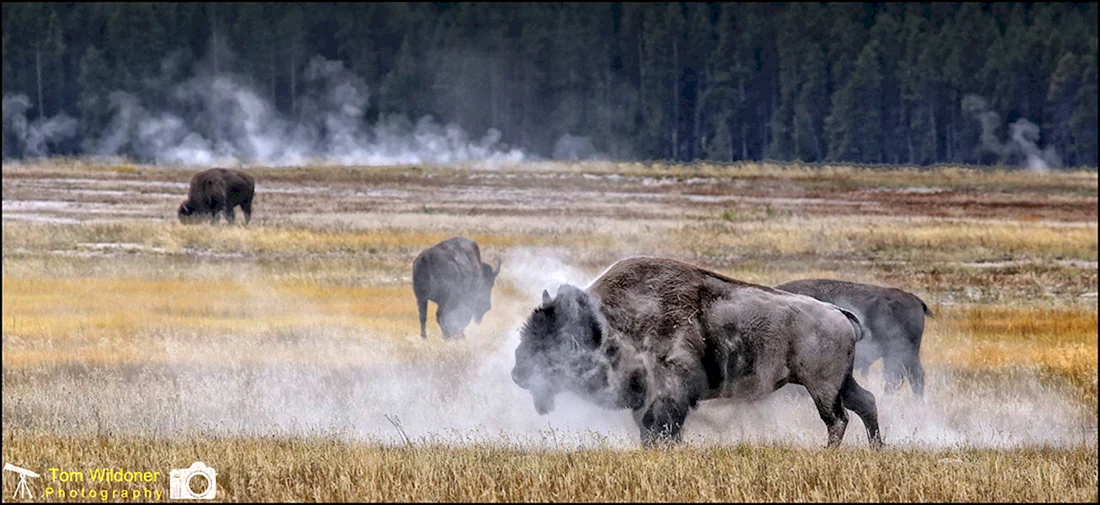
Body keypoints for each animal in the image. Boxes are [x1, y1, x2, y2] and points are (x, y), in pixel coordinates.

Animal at [511, 257, 883, 448]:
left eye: (552, 344)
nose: (518, 373)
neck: (608, 325)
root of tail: (838, 313)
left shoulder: (668, 395)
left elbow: (664, 426)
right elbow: (649, 429)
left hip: (821, 387)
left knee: (837, 419)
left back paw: (829, 452)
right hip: (842, 383)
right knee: (865, 403)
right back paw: (875, 448)